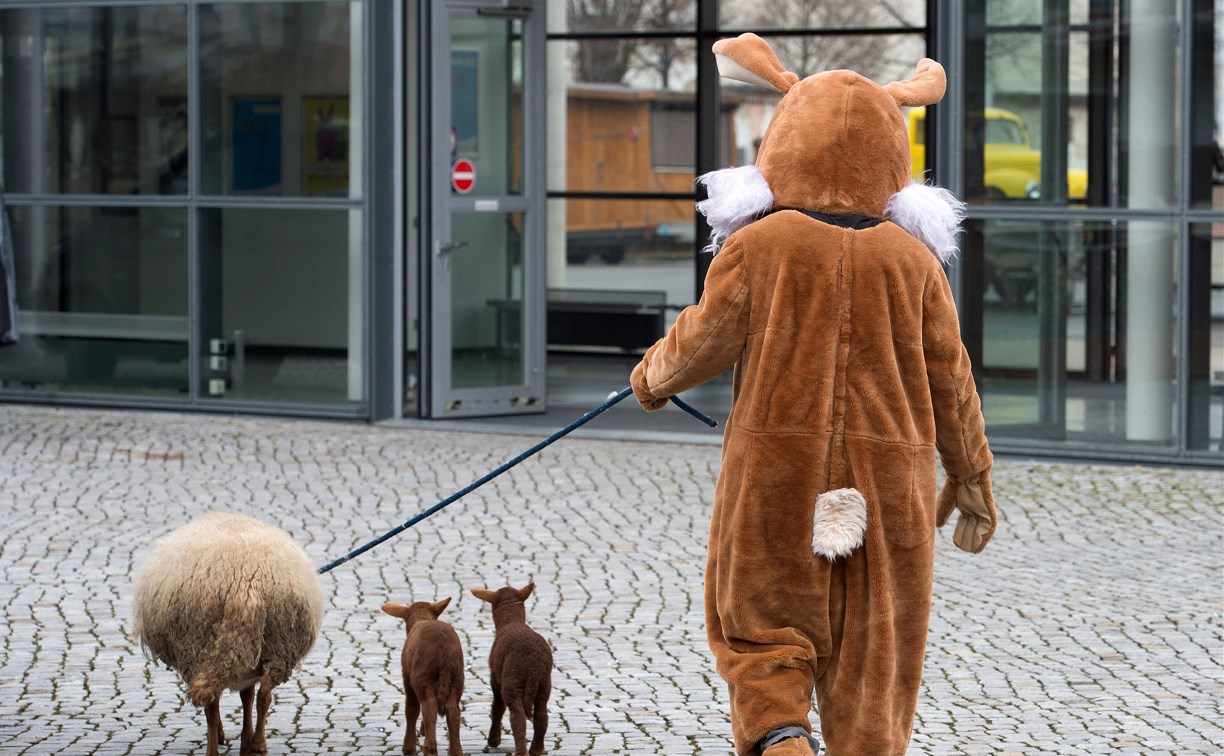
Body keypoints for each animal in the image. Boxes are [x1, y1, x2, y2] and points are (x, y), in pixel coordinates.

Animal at [134, 511, 325, 753]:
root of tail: (246, 586)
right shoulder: (249, 662)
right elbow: (247, 696)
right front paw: (245, 738)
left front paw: (227, 736)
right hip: (279, 646)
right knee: (264, 694)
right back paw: (258, 744)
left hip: (198, 647)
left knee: (211, 703)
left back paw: (213, 749)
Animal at [381, 594, 462, 753]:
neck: (422, 618)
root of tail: (443, 649)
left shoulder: (407, 679)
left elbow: (411, 709)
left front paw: (408, 748)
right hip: (456, 679)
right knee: (453, 713)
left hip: (423, 679)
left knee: (429, 709)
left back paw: (428, 748)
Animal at [470, 582, 553, 753]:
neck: (511, 620)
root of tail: (534, 665)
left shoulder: (495, 678)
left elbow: (497, 708)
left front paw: (493, 740)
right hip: (544, 684)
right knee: (541, 717)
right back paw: (536, 750)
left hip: (512, 682)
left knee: (518, 719)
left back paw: (521, 751)